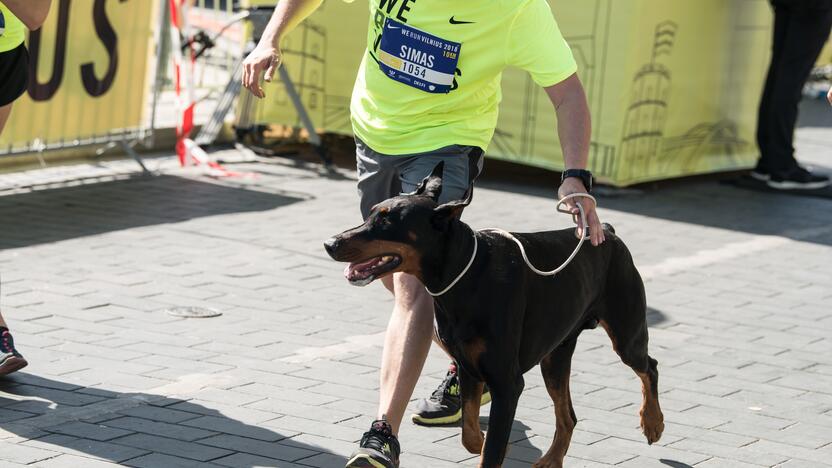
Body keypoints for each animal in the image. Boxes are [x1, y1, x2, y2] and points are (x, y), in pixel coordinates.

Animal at [324, 165, 664, 468]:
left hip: (626, 333)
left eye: (387, 221)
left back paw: (653, 422)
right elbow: (471, 433)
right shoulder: (468, 368)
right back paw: (552, 459)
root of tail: (606, 231)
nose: (330, 243)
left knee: (649, 366)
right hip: (555, 355)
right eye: (371, 213)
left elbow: (490, 452)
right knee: (568, 415)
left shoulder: (507, 382)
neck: (465, 275)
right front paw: (487, 441)